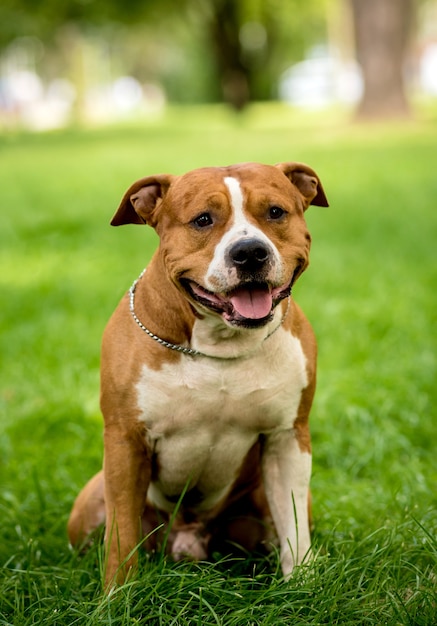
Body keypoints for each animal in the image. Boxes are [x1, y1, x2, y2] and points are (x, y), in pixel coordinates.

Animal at [67, 161, 328, 584]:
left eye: (275, 212)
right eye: (203, 220)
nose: (250, 252)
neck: (220, 344)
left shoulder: (287, 438)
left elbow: (294, 530)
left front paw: (302, 585)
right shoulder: (126, 442)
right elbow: (122, 536)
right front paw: (117, 594)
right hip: (90, 507)